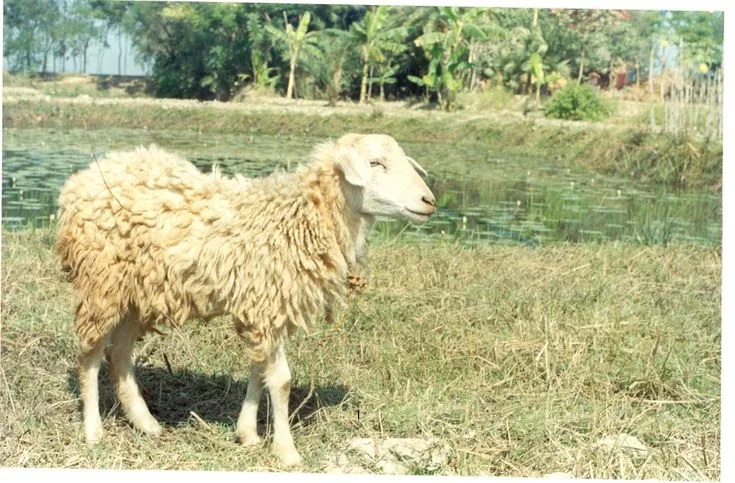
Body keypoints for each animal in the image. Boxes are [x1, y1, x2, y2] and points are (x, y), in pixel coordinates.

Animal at [56, 133, 436, 466]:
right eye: (375, 163)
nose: (429, 201)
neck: (303, 216)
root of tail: (81, 179)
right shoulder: (267, 303)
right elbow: (281, 380)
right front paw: (286, 451)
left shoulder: (264, 307)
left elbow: (258, 370)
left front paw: (248, 434)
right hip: (101, 284)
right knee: (90, 356)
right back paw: (93, 431)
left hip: (134, 291)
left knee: (119, 354)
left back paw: (145, 423)